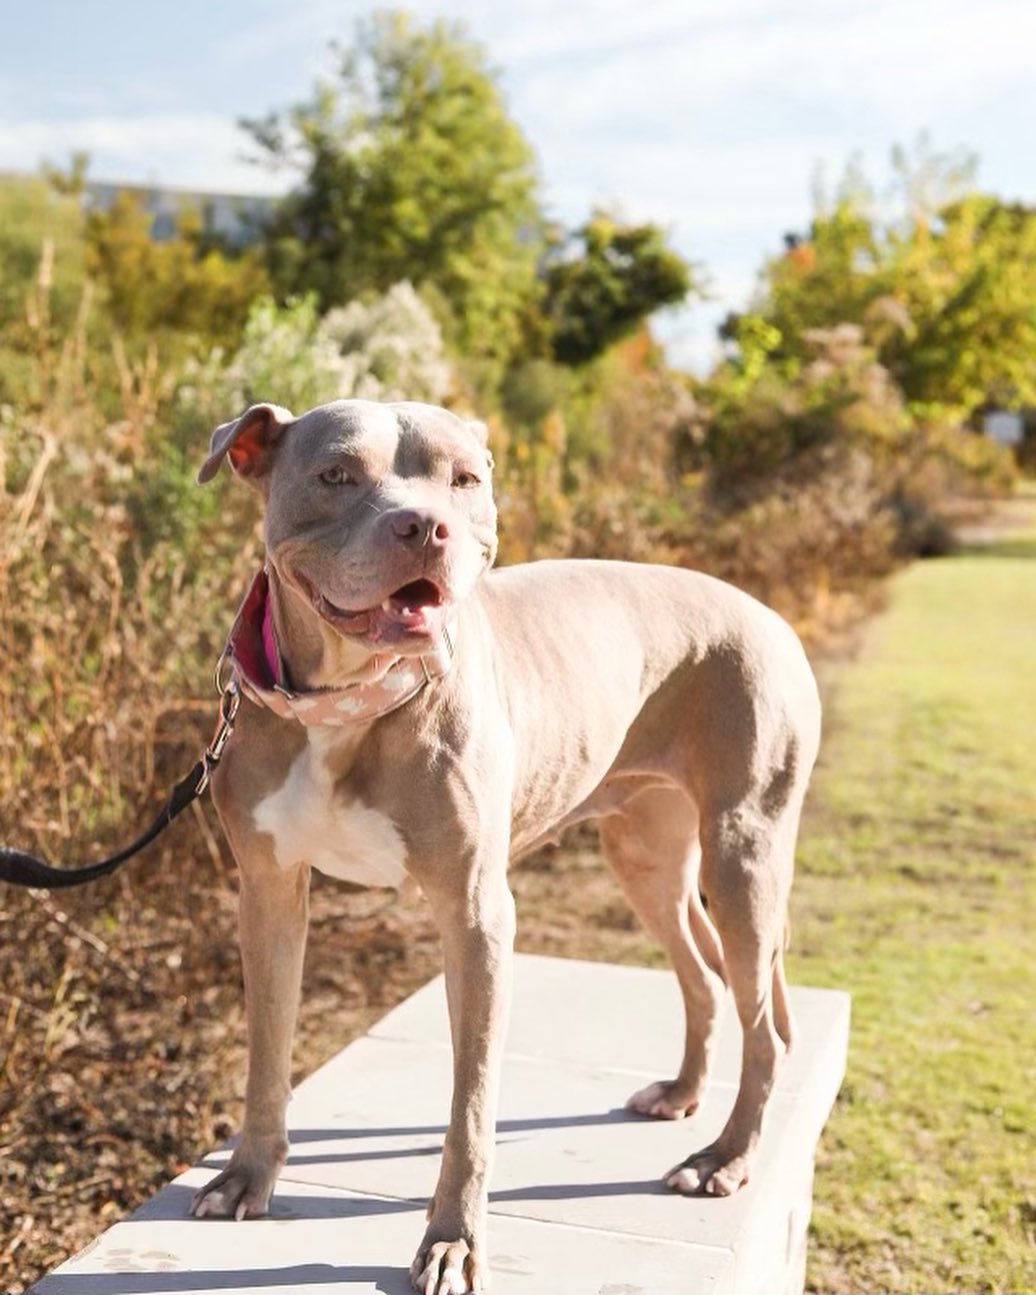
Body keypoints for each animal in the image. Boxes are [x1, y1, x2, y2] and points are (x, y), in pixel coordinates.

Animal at [186, 396, 818, 1295]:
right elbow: (267, 1049)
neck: (349, 700)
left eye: (464, 479)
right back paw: (683, 1092)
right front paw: (248, 1174)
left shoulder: (478, 916)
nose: (425, 526)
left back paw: (724, 1157)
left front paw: (451, 1240)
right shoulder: (269, 892)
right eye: (336, 473)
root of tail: (766, 611)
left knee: (765, 1023)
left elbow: (473, 1101)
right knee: (701, 971)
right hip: (648, 854)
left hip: (744, 853)